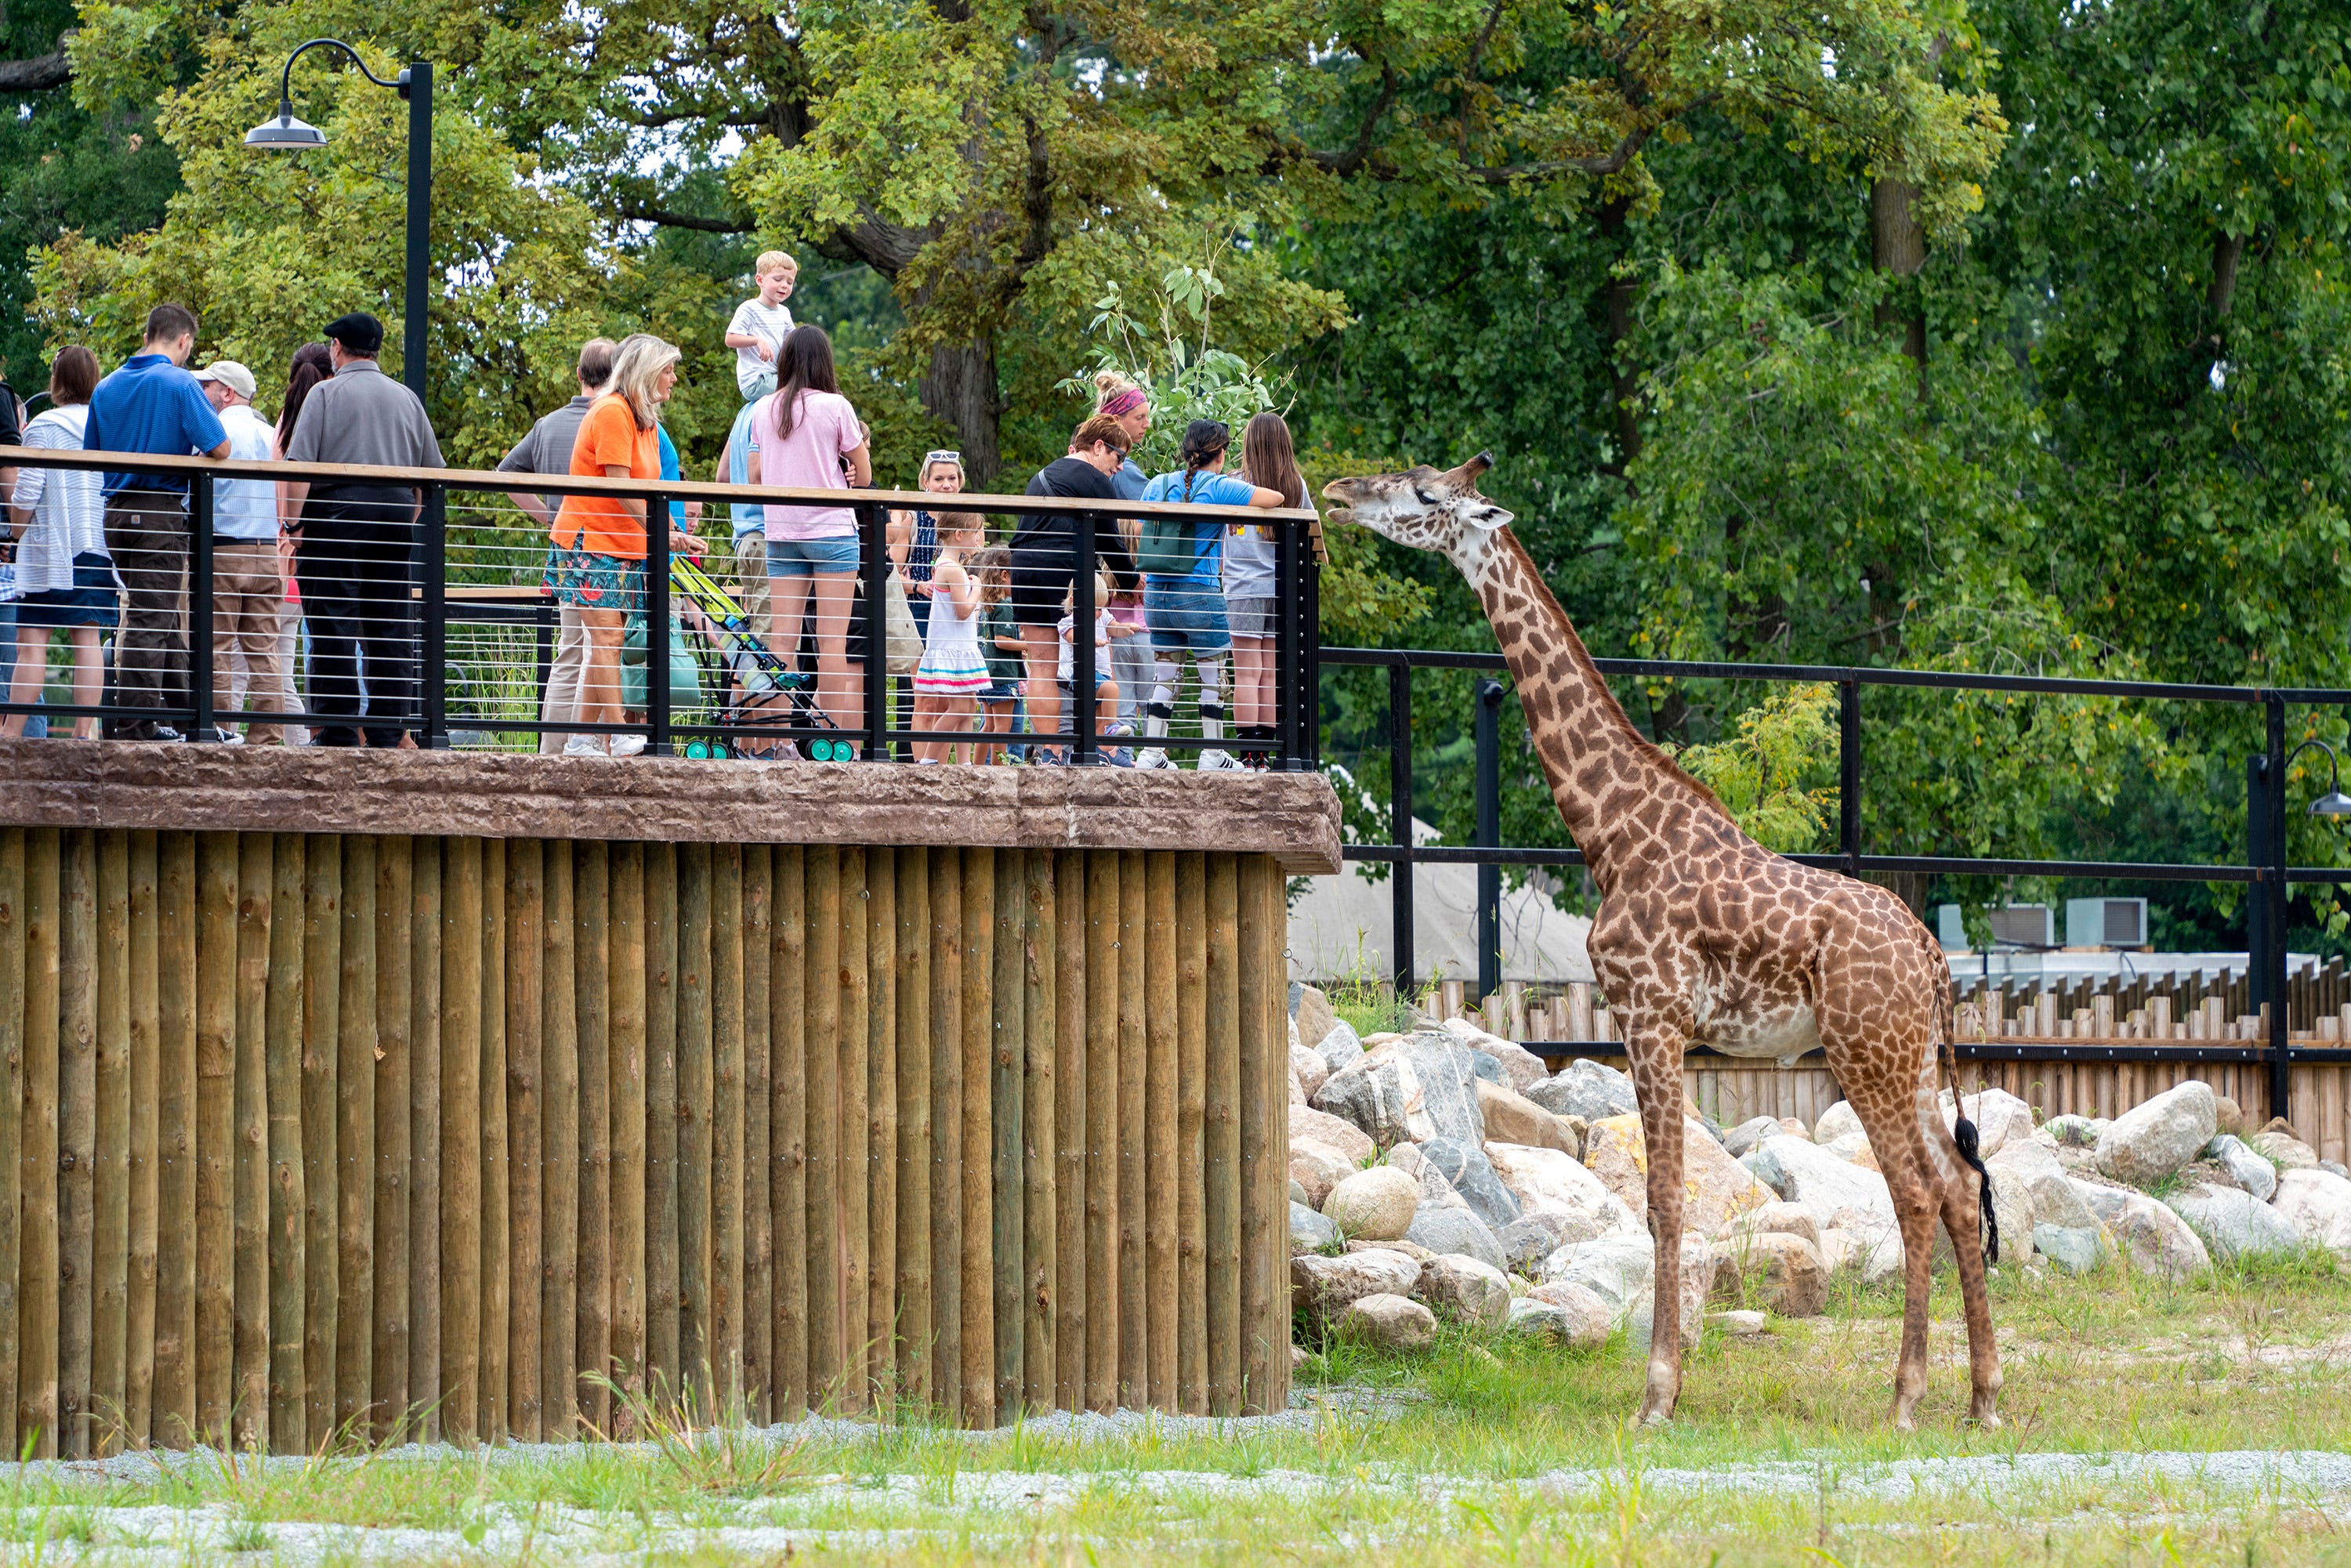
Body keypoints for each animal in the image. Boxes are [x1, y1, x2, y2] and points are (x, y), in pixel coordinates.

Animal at [1335, 454, 1994, 1439]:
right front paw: (1667, 1386)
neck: (1613, 833)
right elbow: (1667, 1200)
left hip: (1863, 1052)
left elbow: (1664, 1202)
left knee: (1916, 1191)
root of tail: (1932, 955)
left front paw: (1656, 1395)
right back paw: (1984, 1396)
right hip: (1906, 1054)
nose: (1339, 494)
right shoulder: (1657, 1025)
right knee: (1955, 1185)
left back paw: (1909, 1396)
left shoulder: (1650, 1016)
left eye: (1422, 494)